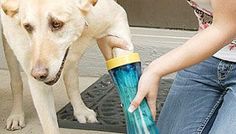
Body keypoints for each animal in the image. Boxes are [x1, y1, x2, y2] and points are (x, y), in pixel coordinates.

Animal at [0, 0, 133, 132]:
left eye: (56, 24)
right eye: (27, 27)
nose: (39, 74)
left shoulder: (117, 17)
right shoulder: (37, 82)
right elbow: (50, 125)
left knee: (71, 79)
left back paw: (81, 110)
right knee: (16, 82)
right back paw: (16, 115)